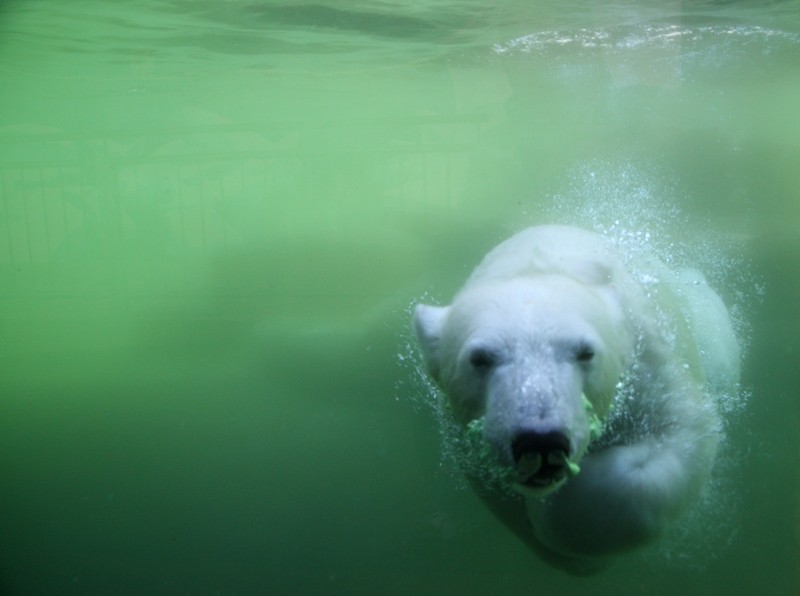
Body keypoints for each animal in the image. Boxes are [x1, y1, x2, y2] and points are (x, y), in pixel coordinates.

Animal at [416, 225, 740, 572]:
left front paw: (553, 511)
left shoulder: (648, 359)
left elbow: (682, 431)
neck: (536, 265)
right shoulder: (466, 444)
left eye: (585, 352)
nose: (540, 443)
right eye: (479, 359)